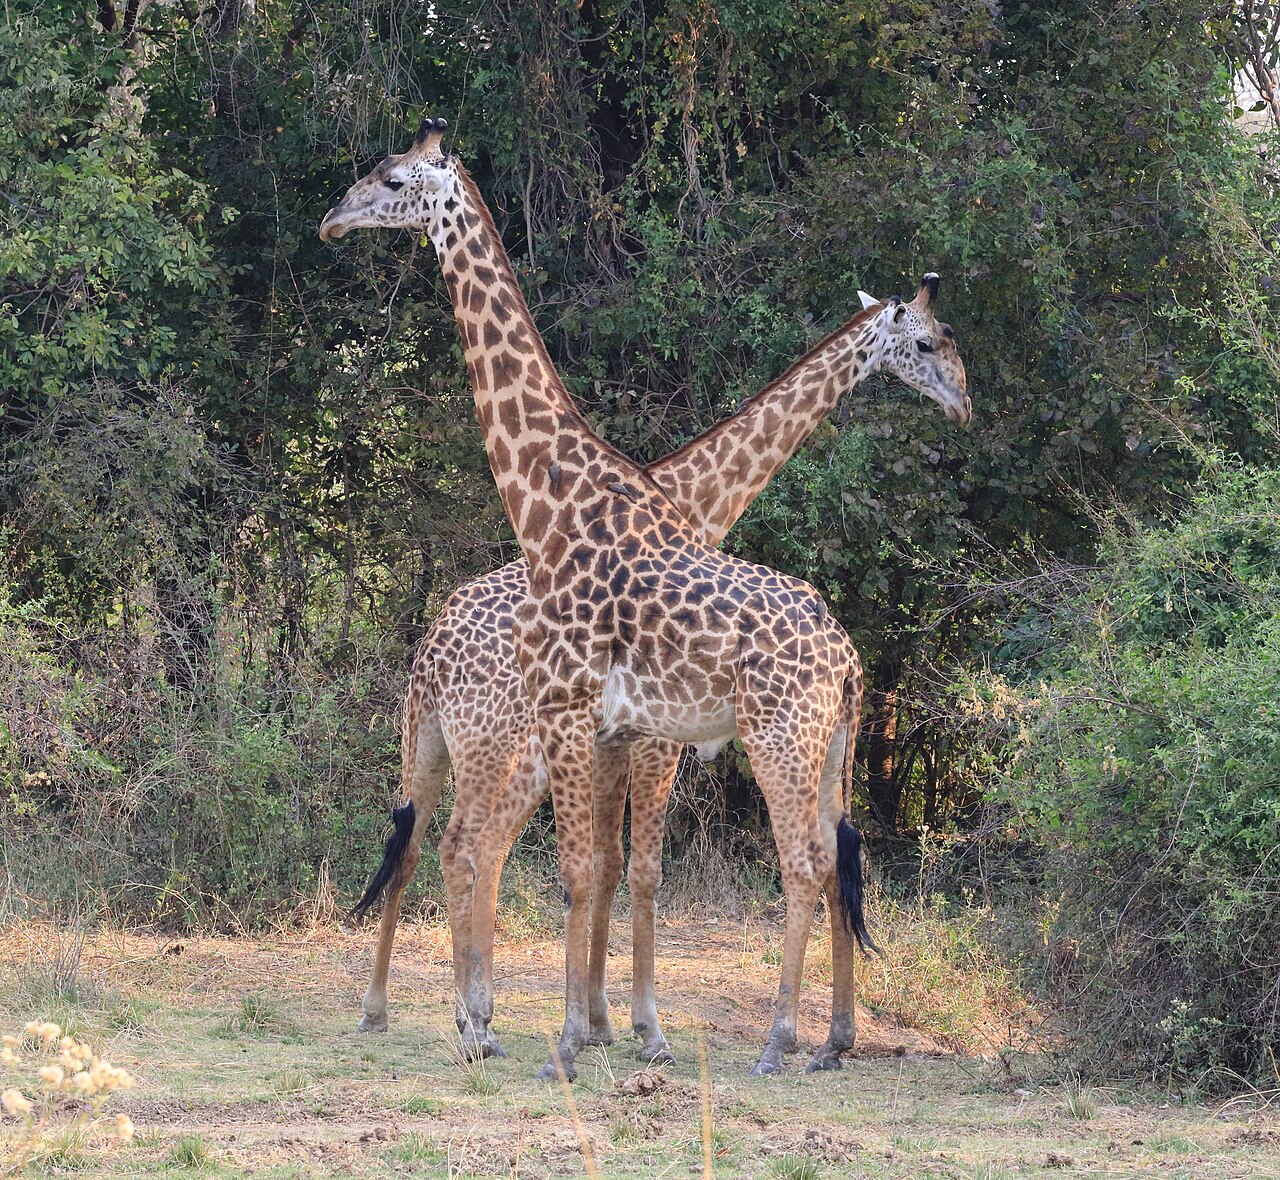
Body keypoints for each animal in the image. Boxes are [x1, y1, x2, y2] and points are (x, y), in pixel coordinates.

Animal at [320, 118, 972, 1079]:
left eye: (393, 179)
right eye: (927, 343)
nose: (334, 218)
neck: (555, 501)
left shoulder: (607, 725)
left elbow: (607, 870)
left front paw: (601, 1033)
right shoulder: (609, 727)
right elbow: (598, 870)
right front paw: (598, 1029)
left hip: (767, 741)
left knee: (801, 861)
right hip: (526, 743)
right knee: (458, 845)